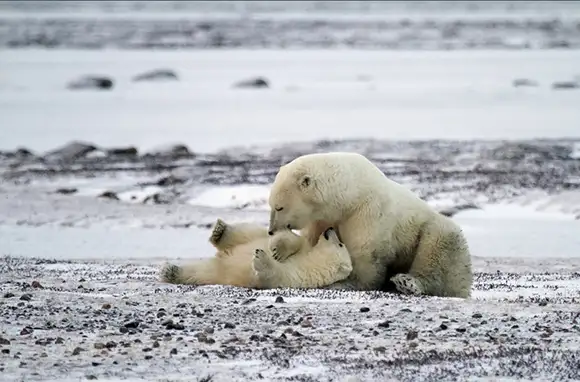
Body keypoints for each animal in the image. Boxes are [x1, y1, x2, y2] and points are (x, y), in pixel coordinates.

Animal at [160, 218, 354, 290]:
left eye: (340, 243)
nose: (330, 228)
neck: (311, 261)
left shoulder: (297, 276)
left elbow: (274, 275)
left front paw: (261, 257)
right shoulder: (306, 246)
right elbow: (292, 238)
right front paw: (277, 250)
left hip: (217, 273)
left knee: (199, 273)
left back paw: (170, 272)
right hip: (250, 239)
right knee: (246, 233)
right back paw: (220, 231)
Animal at [266, 150, 474, 298]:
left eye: (279, 207)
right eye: (272, 205)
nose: (271, 230)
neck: (351, 195)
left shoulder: (367, 213)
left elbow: (366, 258)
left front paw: (345, 283)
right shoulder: (322, 218)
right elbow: (313, 244)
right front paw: (280, 249)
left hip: (431, 229)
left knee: (438, 251)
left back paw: (407, 282)